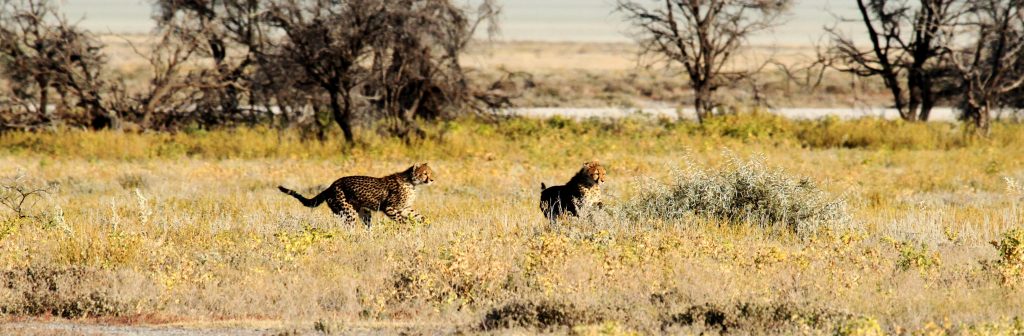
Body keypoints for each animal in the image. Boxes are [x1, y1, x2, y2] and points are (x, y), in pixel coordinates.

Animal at [278, 163, 434, 228]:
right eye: (425, 173)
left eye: (430, 173)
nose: (432, 180)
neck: (412, 182)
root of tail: (332, 185)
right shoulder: (390, 208)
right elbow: (401, 220)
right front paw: (407, 229)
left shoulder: (405, 208)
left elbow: (419, 216)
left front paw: (428, 225)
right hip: (348, 212)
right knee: (348, 229)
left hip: (364, 213)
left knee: (367, 228)